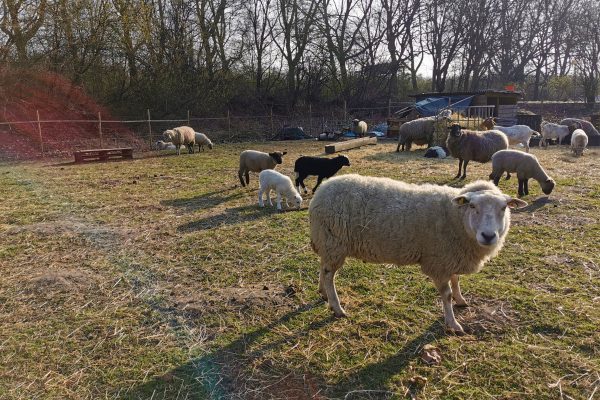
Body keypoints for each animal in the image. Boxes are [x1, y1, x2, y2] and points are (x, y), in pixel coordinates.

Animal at [312, 174, 528, 332]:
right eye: (473, 206)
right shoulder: (439, 261)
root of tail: (321, 191)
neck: (455, 216)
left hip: (327, 243)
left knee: (323, 267)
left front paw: (461, 300)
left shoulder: (452, 256)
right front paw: (453, 323)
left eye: (504, 208)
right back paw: (337, 307)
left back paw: (323, 293)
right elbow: (446, 294)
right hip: (334, 243)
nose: (488, 236)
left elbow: (456, 280)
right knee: (330, 275)